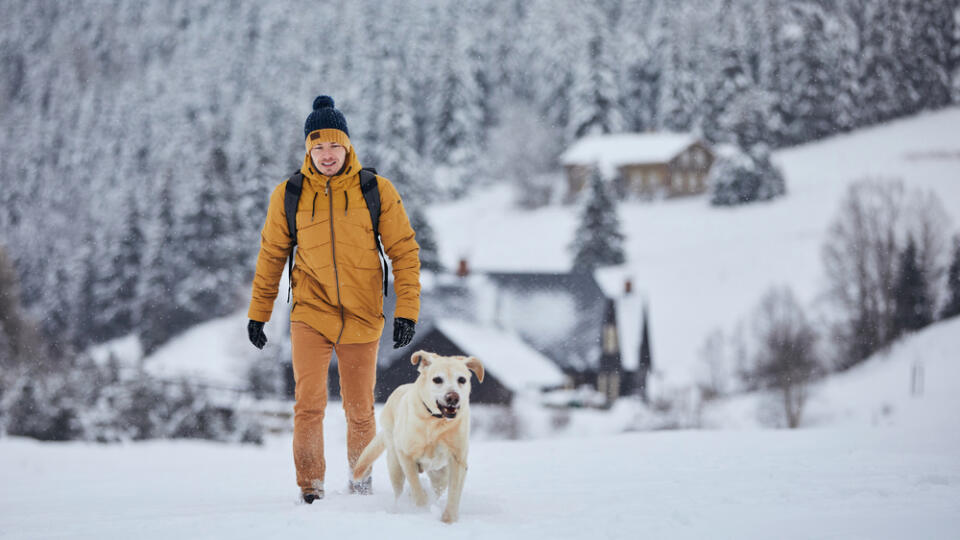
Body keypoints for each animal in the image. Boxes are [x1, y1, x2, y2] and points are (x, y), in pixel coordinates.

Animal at [352, 350, 484, 524]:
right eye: (437, 379)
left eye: (461, 379)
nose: (453, 397)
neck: (435, 421)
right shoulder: (406, 455)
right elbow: (415, 485)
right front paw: (421, 509)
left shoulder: (458, 459)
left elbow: (454, 492)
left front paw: (449, 519)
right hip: (395, 465)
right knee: (399, 491)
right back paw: (401, 507)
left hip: (440, 474)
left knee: (439, 487)